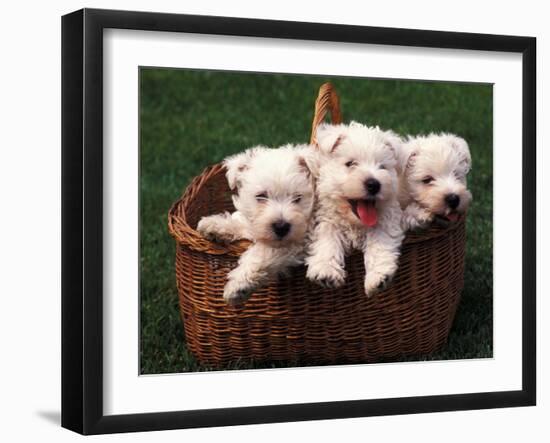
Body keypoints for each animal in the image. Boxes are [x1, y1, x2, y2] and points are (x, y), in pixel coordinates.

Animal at [197, 145, 314, 306]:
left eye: (297, 198)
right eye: (261, 196)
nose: (281, 227)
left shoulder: (300, 241)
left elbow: (262, 253)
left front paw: (238, 286)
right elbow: (247, 225)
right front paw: (214, 225)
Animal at [306, 120, 406, 298]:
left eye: (382, 167)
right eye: (350, 163)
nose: (374, 184)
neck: (355, 223)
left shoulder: (385, 219)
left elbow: (379, 241)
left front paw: (378, 277)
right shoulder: (324, 219)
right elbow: (327, 239)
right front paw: (326, 271)